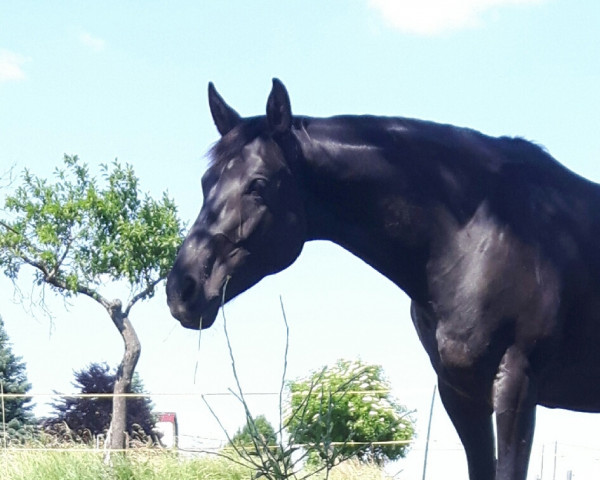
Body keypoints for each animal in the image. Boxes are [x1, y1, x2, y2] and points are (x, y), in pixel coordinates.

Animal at [166, 79, 600, 480]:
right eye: (206, 182)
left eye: (258, 184)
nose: (182, 290)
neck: (481, 234)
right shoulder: (461, 394)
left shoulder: (516, 385)